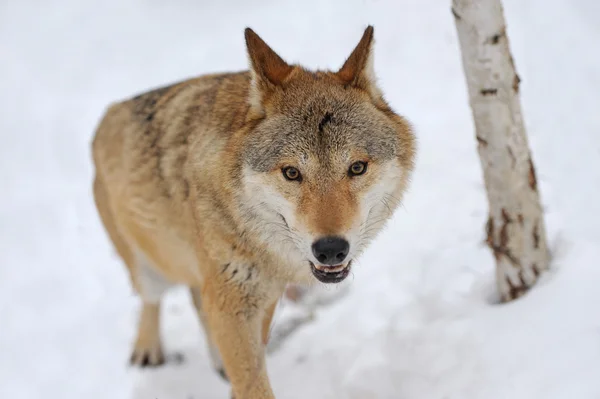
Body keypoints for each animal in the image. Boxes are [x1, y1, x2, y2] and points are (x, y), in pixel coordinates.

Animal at [91, 26, 414, 398]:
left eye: (357, 167)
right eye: (291, 172)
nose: (331, 249)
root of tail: (108, 115)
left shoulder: (262, 299)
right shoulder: (234, 301)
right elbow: (252, 382)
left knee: (196, 300)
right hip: (150, 270)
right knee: (152, 299)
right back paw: (147, 350)